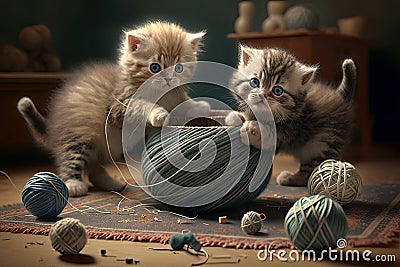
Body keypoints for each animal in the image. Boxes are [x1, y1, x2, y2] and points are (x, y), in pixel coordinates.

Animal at [16, 21, 208, 197]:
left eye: (179, 68)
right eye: (155, 67)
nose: (168, 80)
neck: (162, 93)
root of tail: (53, 129)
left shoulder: (175, 95)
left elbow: (184, 101)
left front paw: (199, 106)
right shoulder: (119, 106)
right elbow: (142, 105)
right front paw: (158, 113)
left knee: (93, 169)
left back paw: (114, 184)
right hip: (79, 134)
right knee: (70, 159)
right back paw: (74, 184)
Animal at [225, 45, 356, 186]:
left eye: (277, 90)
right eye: (254, 82)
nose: (262, 95)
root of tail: (340, 97)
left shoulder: (288, 132)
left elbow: (267, 134)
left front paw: (251, 128)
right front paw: (235, 116)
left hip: (322, 144)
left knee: (311, 173)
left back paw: (290, 178)